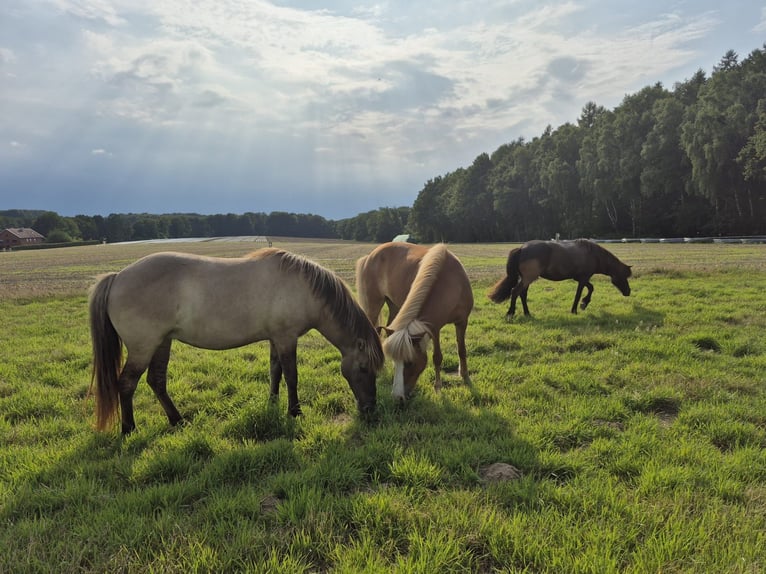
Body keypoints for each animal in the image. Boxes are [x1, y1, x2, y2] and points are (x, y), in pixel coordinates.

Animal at [89, 248, 384, 434]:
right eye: (363, 368)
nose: (370, 409)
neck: (303, 288)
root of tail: (117, 277)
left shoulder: (276, 339)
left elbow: (275, 372)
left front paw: (273, 404)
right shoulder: (286, 339)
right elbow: (292, 376)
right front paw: (295, 412)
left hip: (162, 343)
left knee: (156, 381)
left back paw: (178, 421)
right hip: (144, 347)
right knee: (127, 384)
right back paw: (129, 429)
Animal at [355, 242, 473, 401]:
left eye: (409, 363)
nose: (397, 397)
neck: (452, 285)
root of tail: (370, 256)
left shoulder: (462, 322)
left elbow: (461, 350)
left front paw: (465, 377)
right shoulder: (434, 328)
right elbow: (437, 357)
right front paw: (438, 387)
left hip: (394, 307)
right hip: (374, 306)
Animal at [488, 239, 632, 318]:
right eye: (624, 276)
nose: (628, 292)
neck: (593, 255)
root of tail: (522, 248)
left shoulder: (580, 278)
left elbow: (590, 288)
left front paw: (584, 303)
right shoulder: (583, 278)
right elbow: (580, 293)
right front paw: (577, 308)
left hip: (527, 279)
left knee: (522, 294)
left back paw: (527, 313)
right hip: (528, 278)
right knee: (515, 292)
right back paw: (510, 313)